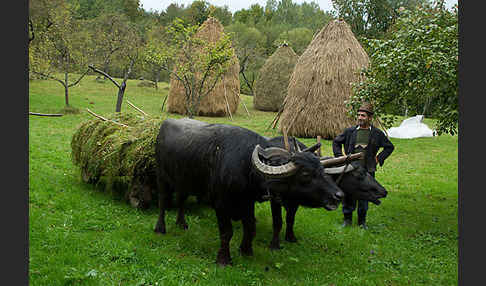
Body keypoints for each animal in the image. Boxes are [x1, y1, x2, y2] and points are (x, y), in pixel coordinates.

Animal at [152, 118, 346, 266]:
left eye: (322, 168)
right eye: (305, 174)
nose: (338, 196)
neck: (245, 165)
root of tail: (165, 124)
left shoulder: (247, 201)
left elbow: (251, 226)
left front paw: (246, 250)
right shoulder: (221, 204)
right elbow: (226, 232)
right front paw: (224, 259)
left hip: (183, 180)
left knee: (181, 200)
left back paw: (182, 223)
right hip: (161, 176)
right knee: (162, 201)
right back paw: (160, 228)